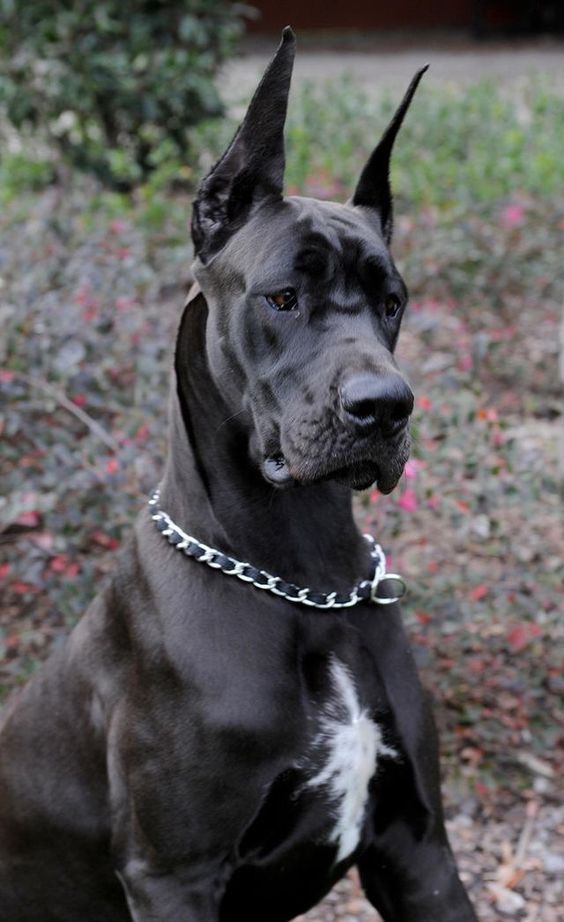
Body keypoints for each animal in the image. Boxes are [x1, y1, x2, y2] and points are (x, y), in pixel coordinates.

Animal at [0, 28, 478, 920]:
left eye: (392, 301)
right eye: (283, 297)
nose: (386, 407)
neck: (306, 578)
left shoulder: (419, 847)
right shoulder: (174, 873)